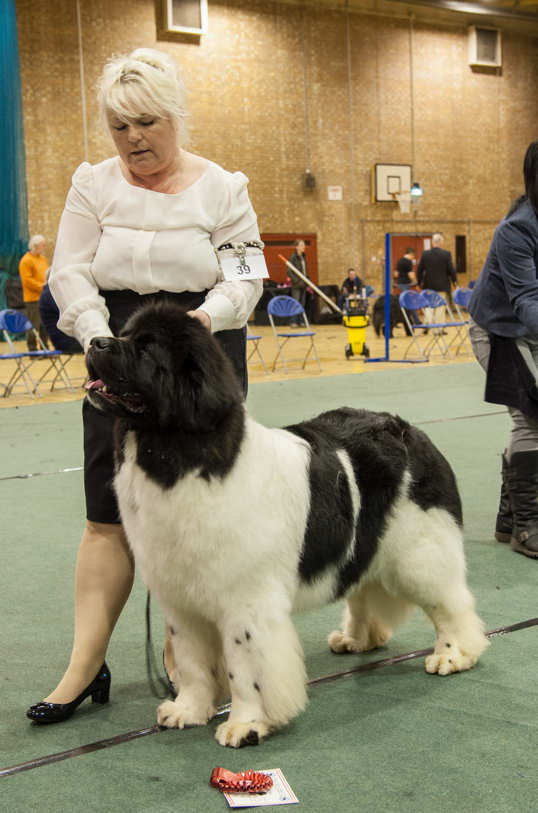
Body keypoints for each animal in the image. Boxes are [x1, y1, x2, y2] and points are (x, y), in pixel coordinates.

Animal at [86, 302, 488, 748]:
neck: (178, 454)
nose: (95, 341)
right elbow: (191, 661)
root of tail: (410, 431)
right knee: (362, 590)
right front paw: (188, 710)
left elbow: (246, 669)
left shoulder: (245, 601)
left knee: (450, 604)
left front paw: (245, 724)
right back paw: (356, 639)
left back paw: (454, 654)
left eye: (145, 349)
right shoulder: (181, 598)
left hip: (419, 554)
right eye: (123, 333)